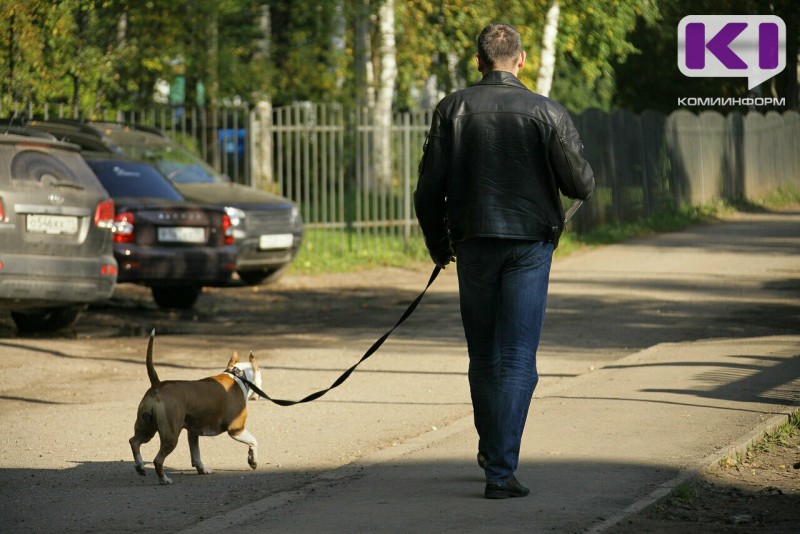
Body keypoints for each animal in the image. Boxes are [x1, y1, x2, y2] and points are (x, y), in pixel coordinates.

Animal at [126, 330, 260, 486]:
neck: (238, 377)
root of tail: (157, 385)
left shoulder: (193, 432)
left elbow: (196, 453)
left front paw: (202, 469)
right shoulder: (236, 430)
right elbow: (254, 441)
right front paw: (252, 461)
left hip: (147, 428)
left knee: (134, 441)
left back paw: (140, 466)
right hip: (170, 436)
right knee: (157, 460)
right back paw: (164, 479)